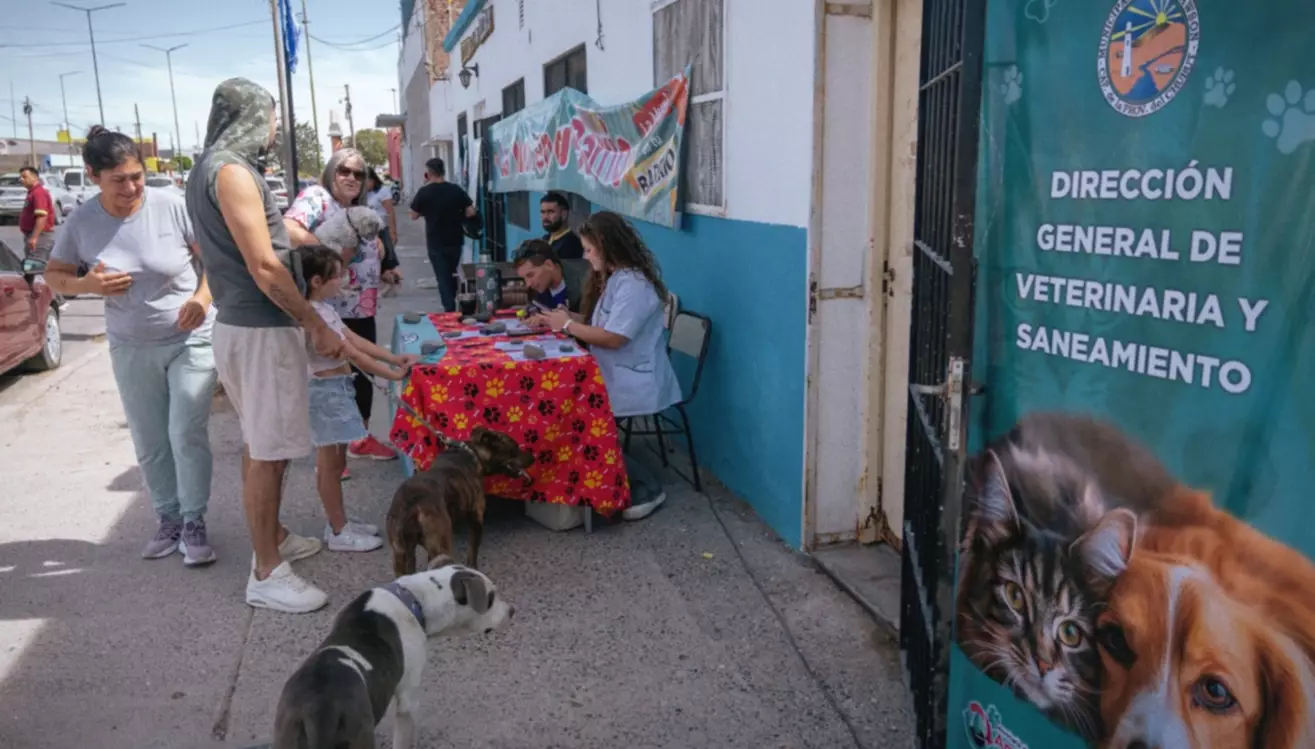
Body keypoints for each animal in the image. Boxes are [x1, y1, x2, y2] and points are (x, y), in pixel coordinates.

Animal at [386, 426, 534, 574]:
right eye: (514, 446)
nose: (533, 457)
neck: (475, 454)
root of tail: (411, 504)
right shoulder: (476, 519)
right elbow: (472, 552)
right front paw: (473, 569)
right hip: (440, 548)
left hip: (402, 555)